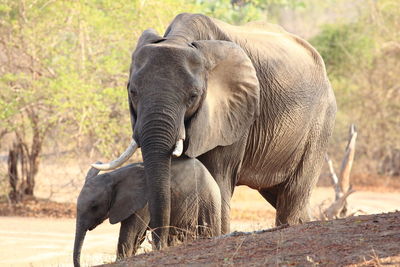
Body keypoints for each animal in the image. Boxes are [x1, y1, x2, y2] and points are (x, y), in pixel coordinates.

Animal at [73, 158, 220, 266]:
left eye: (94, 206)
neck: (114, 175)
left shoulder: (143, 202)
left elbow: (132, 232)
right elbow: (138, 235)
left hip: (208, 200)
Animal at [92, 13, 336, 250]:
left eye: (193, 96)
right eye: (132, 92)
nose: (157, 243)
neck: (180, 38)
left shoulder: (233, 113)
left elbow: (218, 177)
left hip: (320, 121)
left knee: (293, 193)